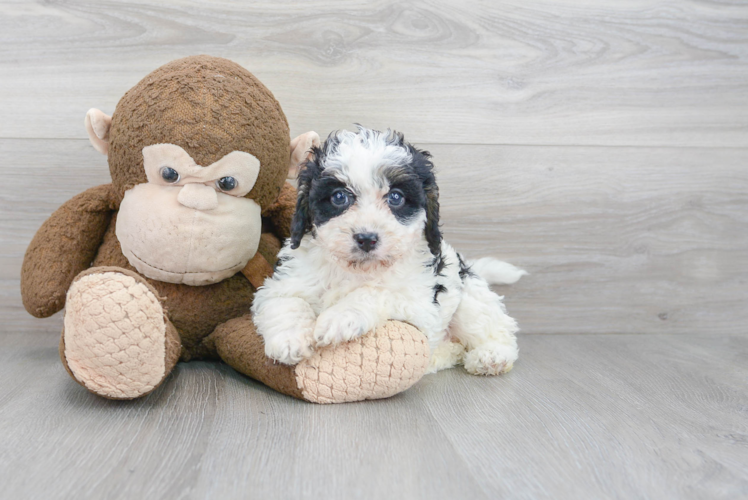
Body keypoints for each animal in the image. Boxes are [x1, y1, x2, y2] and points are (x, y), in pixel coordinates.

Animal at [253, 127, 524, 374]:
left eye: (396, 197)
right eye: (339, 197)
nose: (366, 239)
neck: (357, 270)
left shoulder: (421, 306)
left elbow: (377, 292)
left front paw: (339, 317)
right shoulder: (284, 282)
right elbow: (285, 302)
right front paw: (290, 340)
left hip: (470, 300)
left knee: (497, 329)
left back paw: (491, 356)